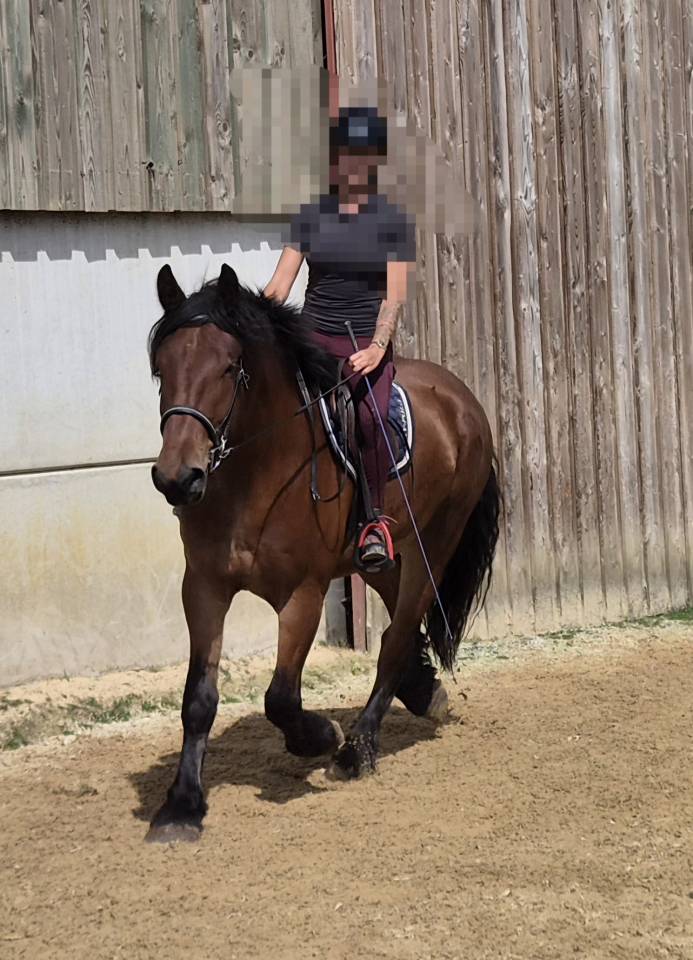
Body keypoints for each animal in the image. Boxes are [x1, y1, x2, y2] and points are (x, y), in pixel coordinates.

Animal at [147, 262, 500, 842]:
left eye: (229, 369)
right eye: (161, 369)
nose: (178, 479)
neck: (254, 475)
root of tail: (462, 398)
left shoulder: (303, 594)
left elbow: (281, 697)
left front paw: (319, 737)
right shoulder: (203, 586)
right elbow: (198, 698)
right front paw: (181, 806)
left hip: (435, 543)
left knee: (398, 634)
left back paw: (358, 748)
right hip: (379, 555)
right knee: (400, 616)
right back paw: (423, 693)